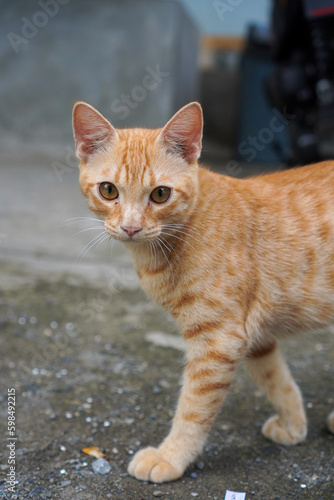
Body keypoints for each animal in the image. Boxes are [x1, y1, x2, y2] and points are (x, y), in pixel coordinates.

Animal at [72, 100, 332, 480]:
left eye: (160, 194)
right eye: (108, 190)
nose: (131, 227)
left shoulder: (218, 340)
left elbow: (193, 408)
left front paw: (170, 457)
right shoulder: (253, 336)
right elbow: (276, 379)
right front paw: (294, 425)